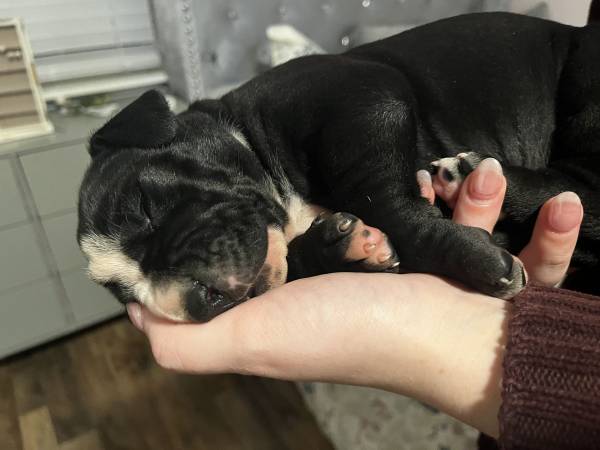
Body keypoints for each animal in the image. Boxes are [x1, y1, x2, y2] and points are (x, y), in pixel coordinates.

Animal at [78, 12, 600, 322]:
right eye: (125, 294)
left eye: (144, 205)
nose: (192, 302)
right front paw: (340, 249)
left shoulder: (363, 98)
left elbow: (378, 195)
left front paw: (463, 253)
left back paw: (470, 174)